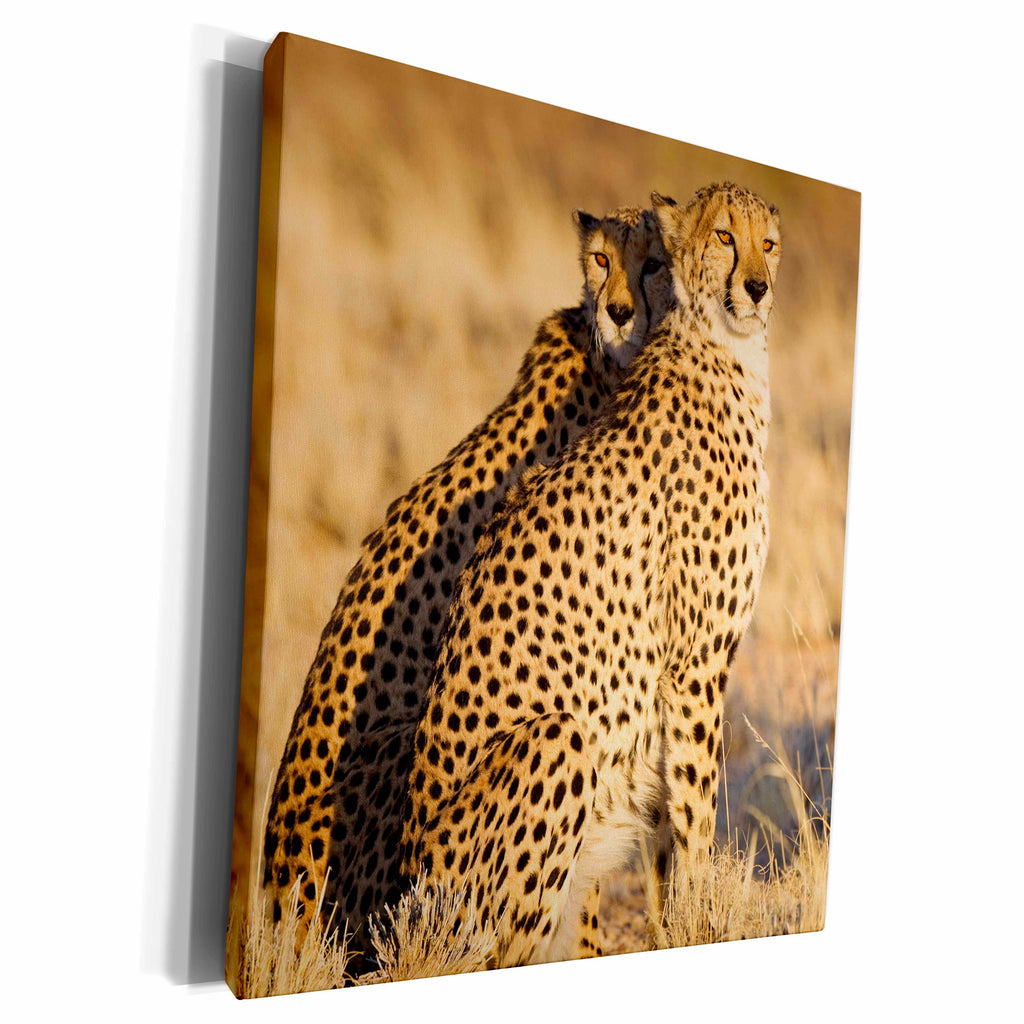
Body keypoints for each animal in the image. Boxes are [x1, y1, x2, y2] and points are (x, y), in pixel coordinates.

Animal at [399, 182, 781, 969]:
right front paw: (702, 919)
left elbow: (670, 832)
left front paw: (675, 925)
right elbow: (697, 812)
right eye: (725, 238)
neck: (723, 349)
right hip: (556, 742)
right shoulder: (695, 665)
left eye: (769, 244)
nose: (759, 287)